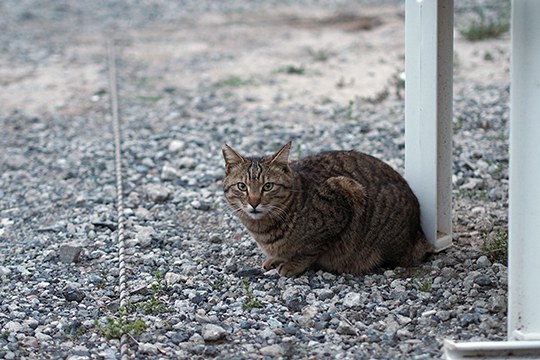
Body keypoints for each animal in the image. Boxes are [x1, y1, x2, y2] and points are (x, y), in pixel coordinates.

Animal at [221, 142, 432, 278]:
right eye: (242, 186)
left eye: (268, 186)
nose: (254, 202)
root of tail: (419, 232)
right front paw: (275, 258)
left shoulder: (341, 203)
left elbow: (310, 249)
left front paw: (292, 265)